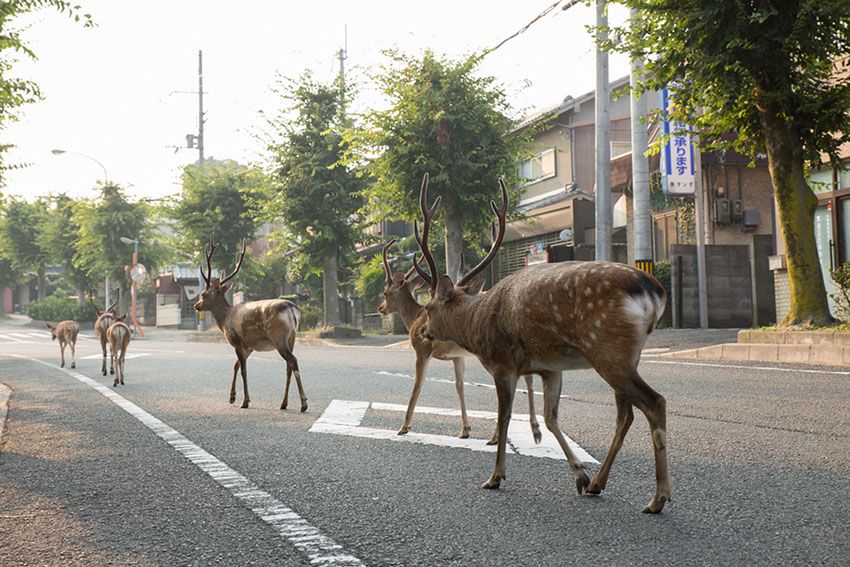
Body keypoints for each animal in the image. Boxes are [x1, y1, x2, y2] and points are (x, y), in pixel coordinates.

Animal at [194, 241, 306, 412]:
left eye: (203, 294)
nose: (196, 305)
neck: (225, 319)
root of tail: (292, 309)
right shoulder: (249, 345)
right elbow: (235, 366)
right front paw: (232, 397)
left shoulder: (237, 341)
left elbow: (243, 370)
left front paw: (245, 401)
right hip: (292, 338)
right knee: (289, 366)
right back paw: (284, 403)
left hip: (278, 337)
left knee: (293, 361)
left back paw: (304, 403)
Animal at [410, 176, 668, 516]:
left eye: (428, 308)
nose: (423, 332)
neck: (478, 325)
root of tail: (653, 290)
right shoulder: (548, 367)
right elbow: (551, 417)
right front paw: (580, 475)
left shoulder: (503, 363)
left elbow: (504, 418)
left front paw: (495, 477)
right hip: (626, 355)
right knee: (625, 414)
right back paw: (599, 483)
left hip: (608, 349)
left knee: (655, 402)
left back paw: (658, 498)